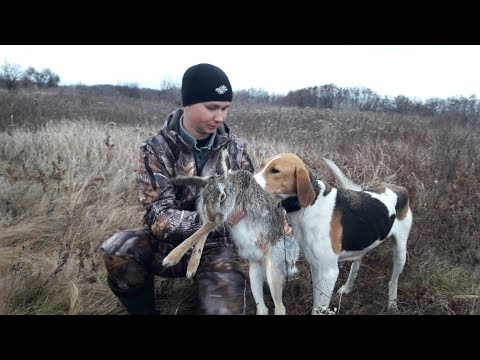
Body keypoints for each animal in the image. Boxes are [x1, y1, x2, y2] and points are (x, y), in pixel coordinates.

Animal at [253, 153, 414, 314]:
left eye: (275, 171)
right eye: (261, 166)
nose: (248, 180)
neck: (310, 204)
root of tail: (398, 188)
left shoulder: (329, 272)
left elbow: (320, 307)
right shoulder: (316, 266)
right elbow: (316, 302)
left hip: (400, 253)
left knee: (393, 281)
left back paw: (392, 304)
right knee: (356, 264)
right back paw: (348, 287)